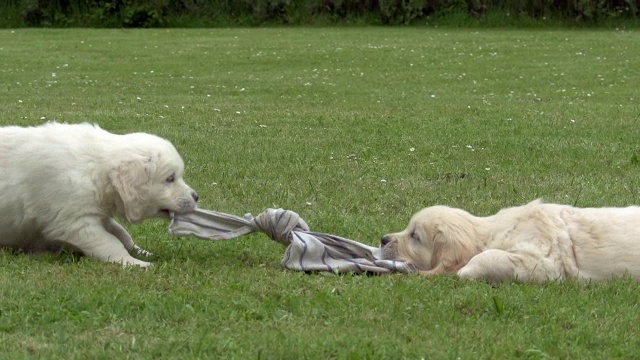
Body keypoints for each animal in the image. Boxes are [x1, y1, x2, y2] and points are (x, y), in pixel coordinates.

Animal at [0, 122, 198, 266]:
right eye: (170, 178)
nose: (196, 196)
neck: (94, 169)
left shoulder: (99, 213)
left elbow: (122, 234)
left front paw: (142, 252)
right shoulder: (76, 222)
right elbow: (110, 242)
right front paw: (135, 263)